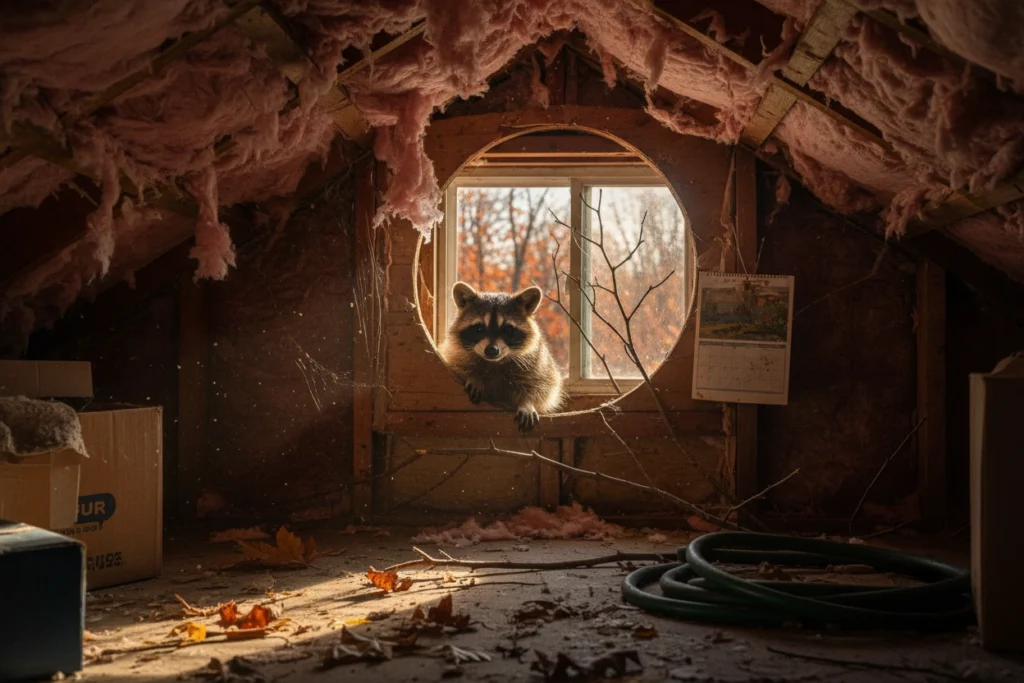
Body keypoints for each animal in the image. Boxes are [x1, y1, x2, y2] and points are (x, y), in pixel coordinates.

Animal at [438, 281, 565, 432]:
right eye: (479, 328)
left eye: (508, 329)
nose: (492, 350)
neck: (495, 362)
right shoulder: (453, 354)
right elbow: (455, 367)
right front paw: (475, 377)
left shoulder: (538, 362)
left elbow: (544, 387)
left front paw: (527, 403)